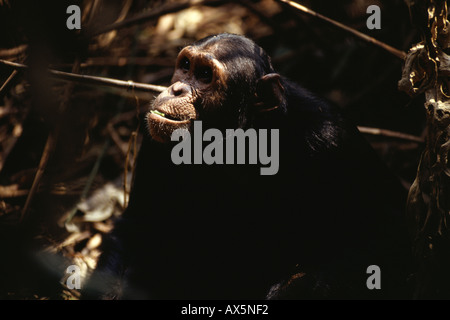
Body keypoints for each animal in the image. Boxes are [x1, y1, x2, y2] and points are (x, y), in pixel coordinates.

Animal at [83, 33, 412, 300]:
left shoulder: (334, 137)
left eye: (205, 75)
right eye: (186, 66)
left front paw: (292, 289)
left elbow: (385, 232)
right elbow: (136, 227)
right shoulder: (155, 141)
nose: (176, 88)